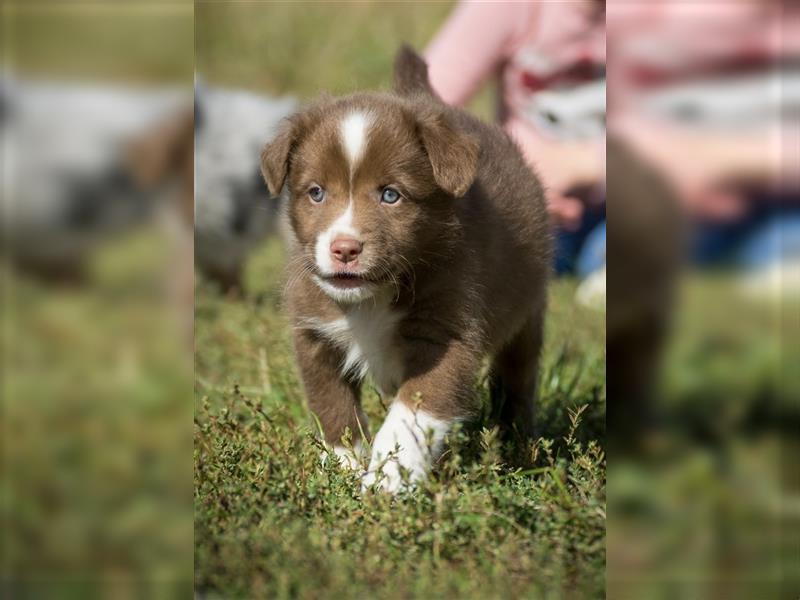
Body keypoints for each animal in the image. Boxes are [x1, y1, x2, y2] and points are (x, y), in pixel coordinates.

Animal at [260, 48, 552, 492]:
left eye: (390, 195)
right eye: (316, 193)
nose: (344, 248)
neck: (371, 299)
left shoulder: (445, 332)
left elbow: (411, 416)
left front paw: (387, 481)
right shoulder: (315, 332)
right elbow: (331, 403)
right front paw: (345, 468)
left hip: (527, 311)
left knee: (517, 377)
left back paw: (516, 444)